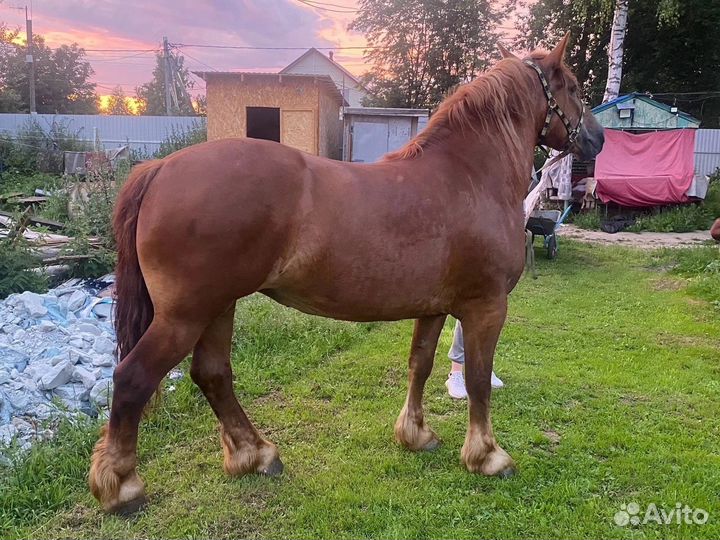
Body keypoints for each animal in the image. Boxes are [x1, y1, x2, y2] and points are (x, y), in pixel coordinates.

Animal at [89, 34, 604, 514]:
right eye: (574, 87)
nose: (596, 139)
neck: (469, 176)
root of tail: (160, 168)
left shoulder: (435, 307)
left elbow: (420, 364)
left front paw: (416, 434)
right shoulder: (486, 307)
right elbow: (478, 378)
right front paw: (488, 456)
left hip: (218, 307)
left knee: (213, 375)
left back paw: (256, 455)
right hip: (185, 314)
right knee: (133, 378)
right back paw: (123, 487)